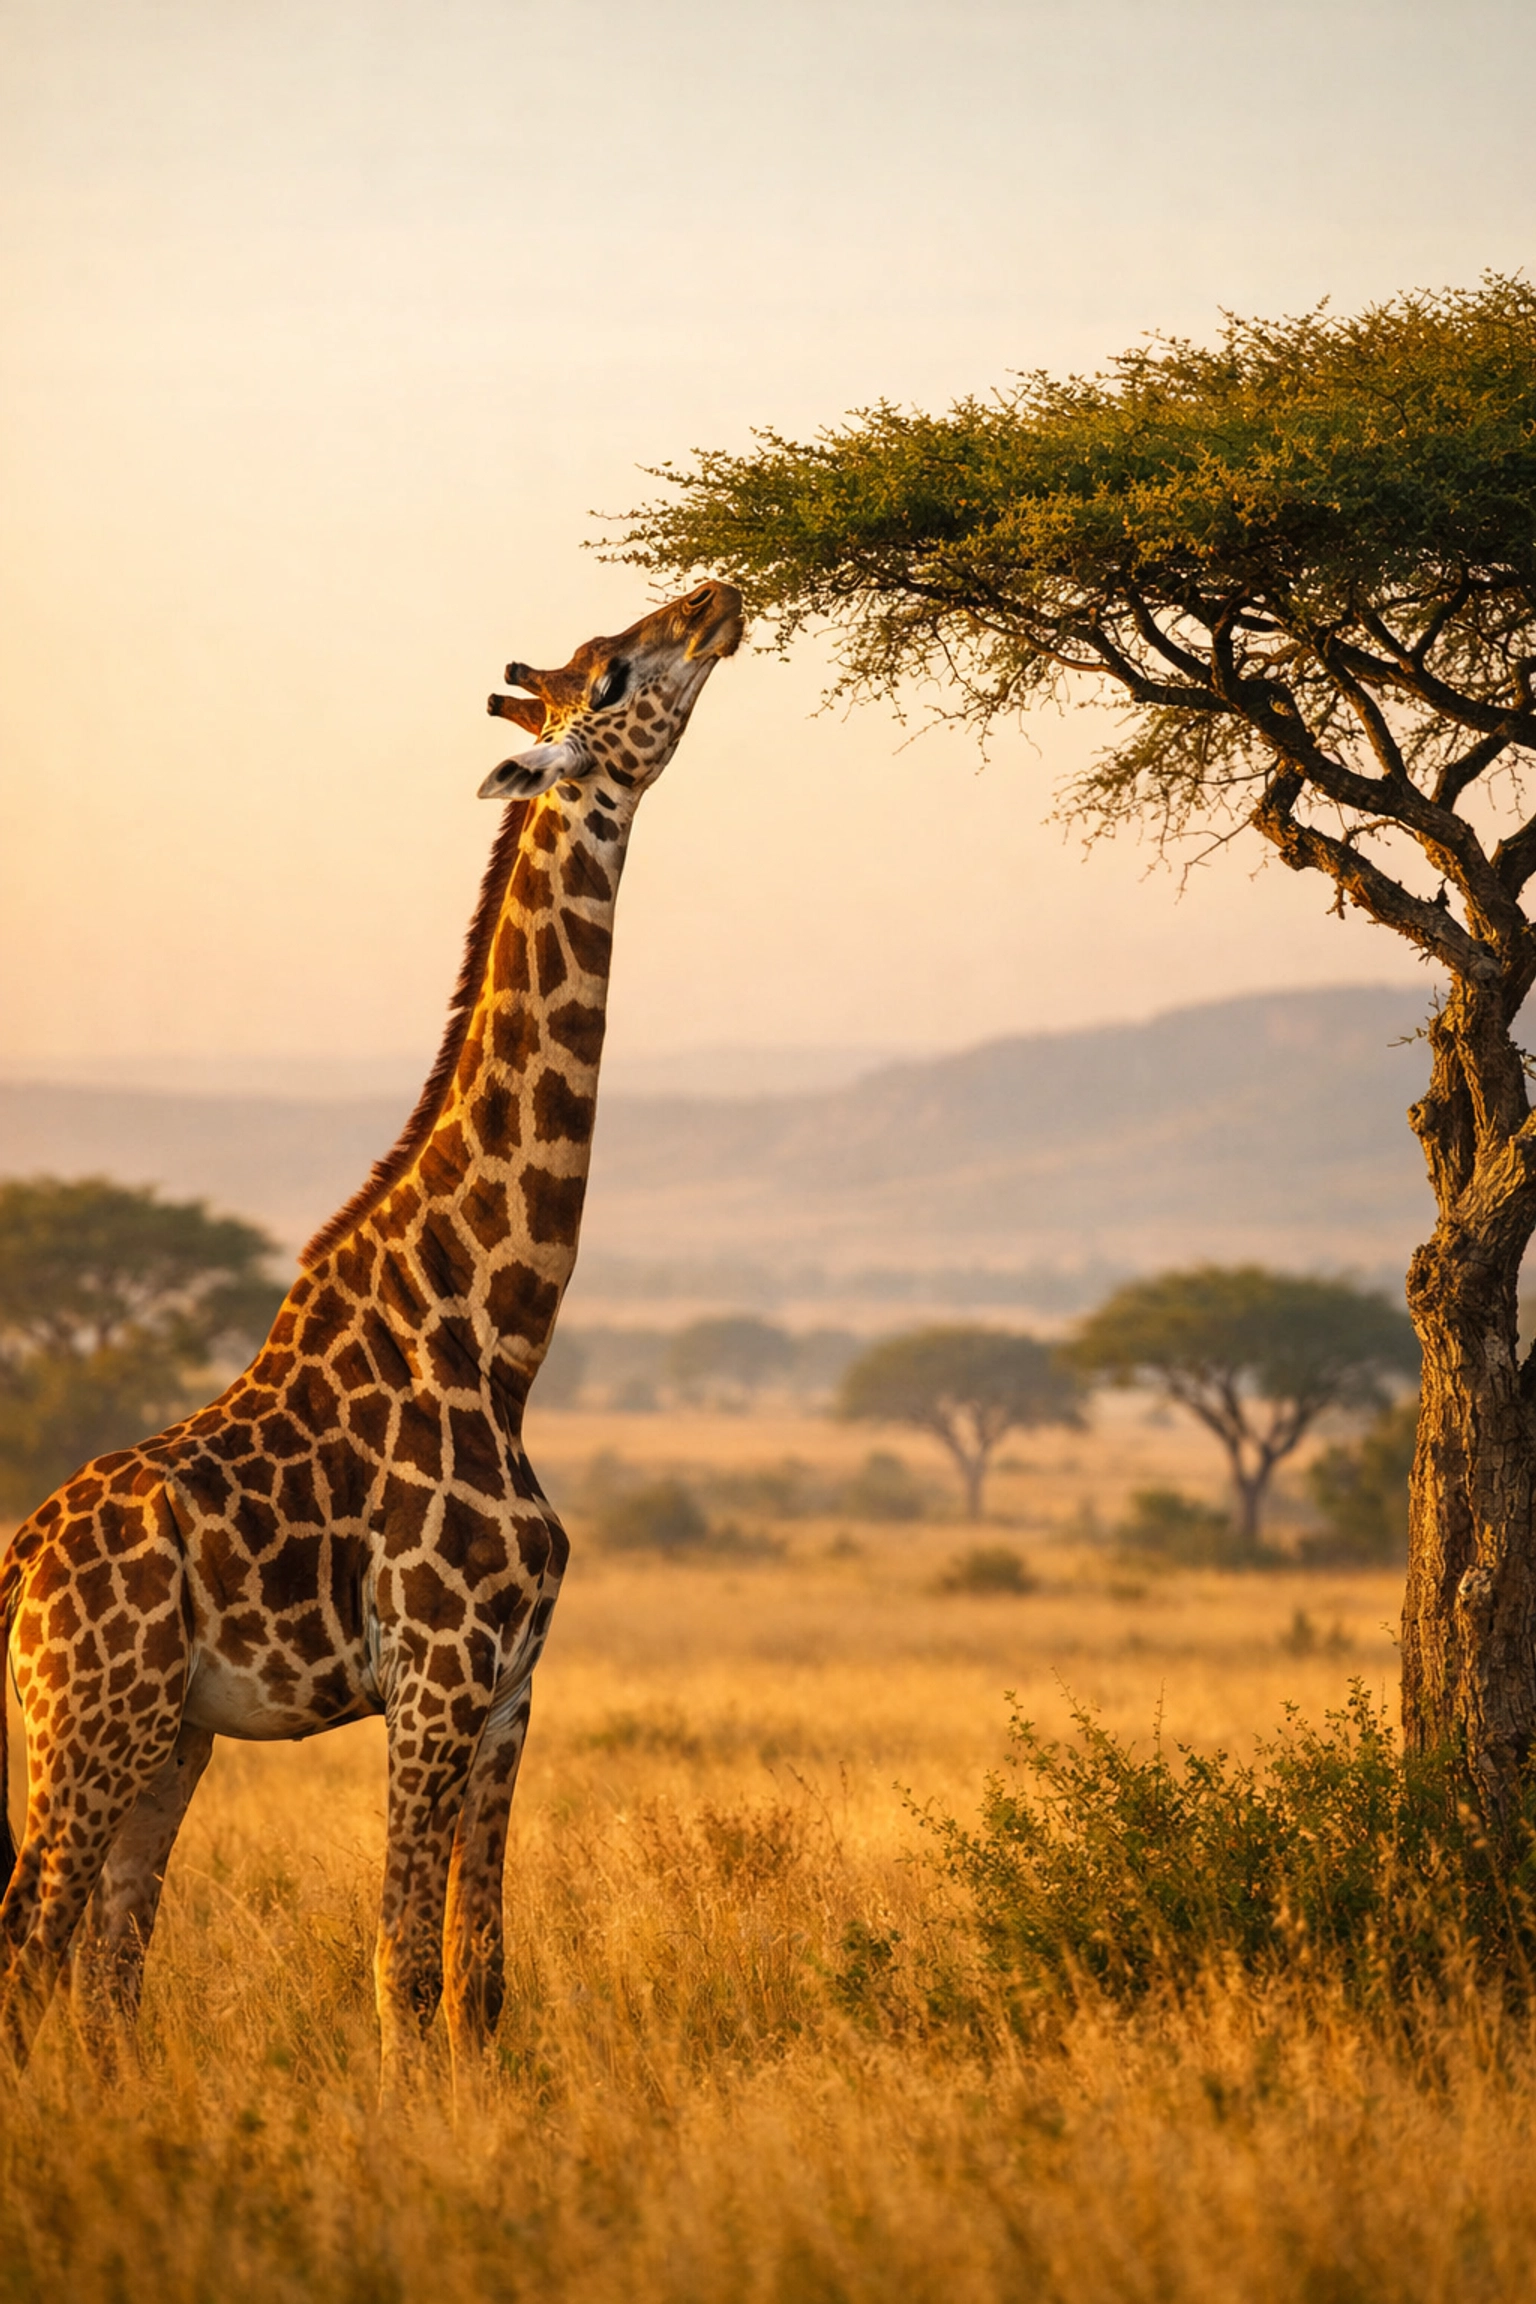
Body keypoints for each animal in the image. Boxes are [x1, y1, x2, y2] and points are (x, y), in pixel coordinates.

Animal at [0, 579, 744, 2083]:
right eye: (615, 672)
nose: (718, 596)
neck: (499, 1337)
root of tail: (20, 1564)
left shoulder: (515, 1684)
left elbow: (479, 1977)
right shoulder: (436, 1671)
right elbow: (402, 1964)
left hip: (165, 1734)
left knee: (105, 1959)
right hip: (89, 1717)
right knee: (33, 1940)